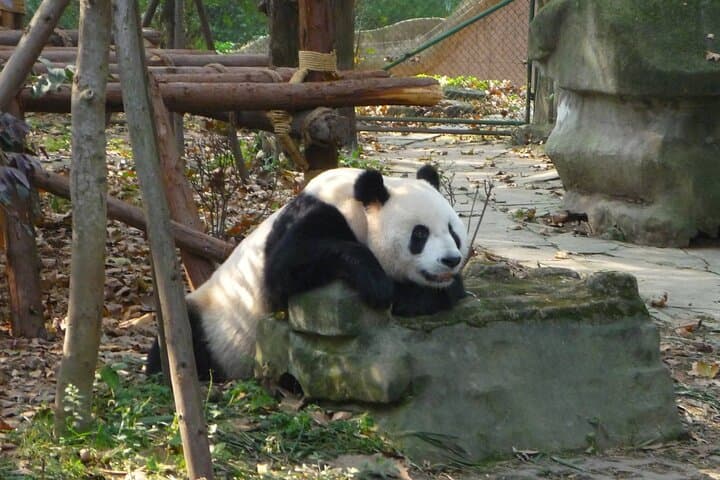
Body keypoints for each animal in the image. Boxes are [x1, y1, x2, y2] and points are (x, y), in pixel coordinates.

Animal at [147, 165, 469, 381]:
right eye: (420, 234)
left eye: (453, 231)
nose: (451, 260)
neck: (354, 204)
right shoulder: (313, 217)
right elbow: (285, 268)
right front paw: (379, 285)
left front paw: (433, 292)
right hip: (211, 320)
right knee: (183, 336)